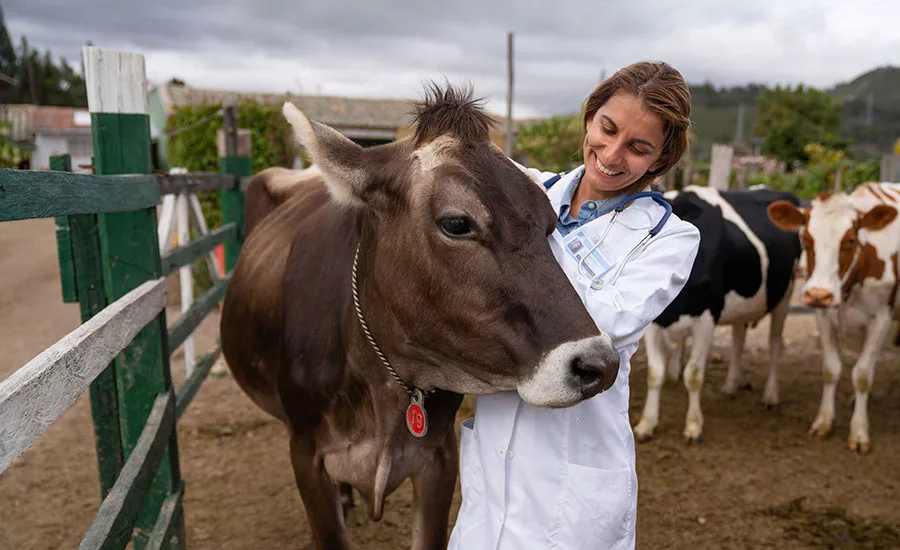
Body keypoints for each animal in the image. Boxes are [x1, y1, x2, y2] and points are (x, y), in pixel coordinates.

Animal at [219, 85, 620, 550]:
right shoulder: (305, 454)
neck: (380, 383)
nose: (599, 364)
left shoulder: (438, 455)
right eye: (456, 223)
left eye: (550, 223)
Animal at [633, 185, 802, 443]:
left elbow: (693, 374)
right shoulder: (653, 323)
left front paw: (693, 426)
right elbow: (655, 373)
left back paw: (771, 396)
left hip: (785, 294)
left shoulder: (706, 317)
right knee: (738, 341)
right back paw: (731, 386)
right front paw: (646, 424)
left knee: (775, 344)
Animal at [768, 182, 900, 454]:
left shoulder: (882, 316)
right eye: (806, 239)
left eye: (850, 240)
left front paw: (859, 432)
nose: (819, 293)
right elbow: (831, 369)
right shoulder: (823, 315)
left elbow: (862, 375)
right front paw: (824, 422)